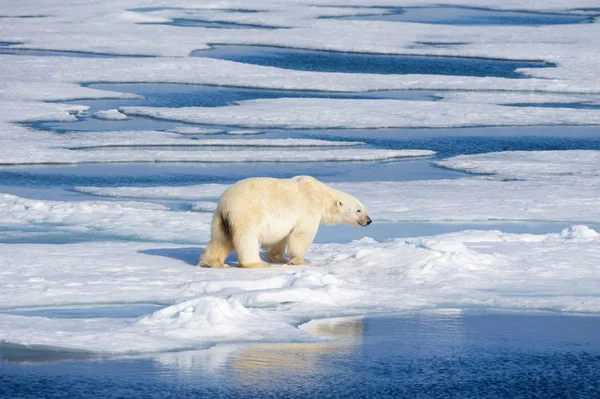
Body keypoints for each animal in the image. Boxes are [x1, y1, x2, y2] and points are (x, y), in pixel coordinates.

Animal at [199, 177, 372, 268]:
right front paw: (300, 261)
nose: (369, 221)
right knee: (246, 238)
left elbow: (280, 237)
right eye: (358, 210)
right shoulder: (308, 208)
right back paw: (256, 263)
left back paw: (213, 262)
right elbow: (301, 235)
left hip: (221, 219)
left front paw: (278, 258)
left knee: (221, 239)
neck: (321, 194)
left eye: (364, 208)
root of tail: (225, 203)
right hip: (247, 213)